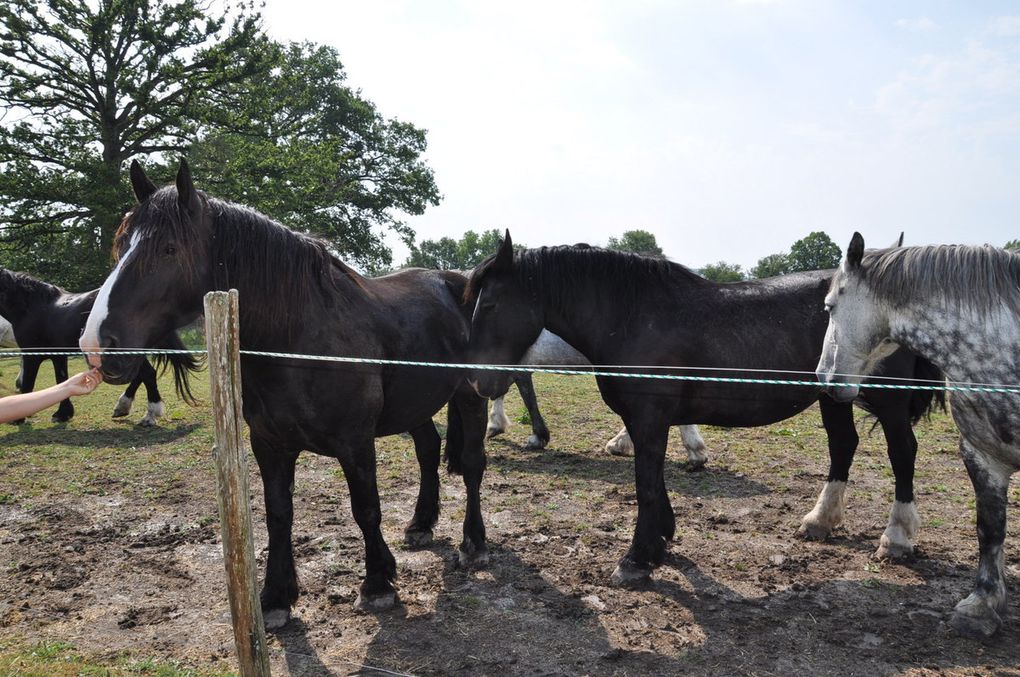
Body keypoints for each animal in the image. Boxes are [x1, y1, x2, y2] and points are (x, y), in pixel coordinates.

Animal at [0, 269, 196, 424]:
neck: (32, 307)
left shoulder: (32, 355)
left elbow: (27, 384)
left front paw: (18, 418)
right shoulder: (58, 355)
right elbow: (62, 380)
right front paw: (63, 414)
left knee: (147, 373)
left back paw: (150, 415)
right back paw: (123, 407)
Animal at [78, 161, 489, 628]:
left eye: (168, 248)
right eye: (121, 245)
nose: (97, 345)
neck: (300, 339)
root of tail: (457, 284)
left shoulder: (355, 443)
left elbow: (366, 508)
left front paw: (377, 584)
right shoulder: (269, 445)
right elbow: (278, 514)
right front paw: (276, 596)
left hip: (471, 397)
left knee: (472, 464)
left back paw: (474, 544)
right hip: (414, 405)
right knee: (427, 449)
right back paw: (420, 524)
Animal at [467, 231, 942, 583]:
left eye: (489, 303)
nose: (477, 380)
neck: (633, 316)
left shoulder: (650, 419)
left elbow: (645, 482)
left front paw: (636, 559)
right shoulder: (645, 421)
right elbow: (654, 478)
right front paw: (660, 541)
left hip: (888, 400)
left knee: (903, 454)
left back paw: (896, 539)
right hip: (834, 394)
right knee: (843, 445)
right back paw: (820, 521)